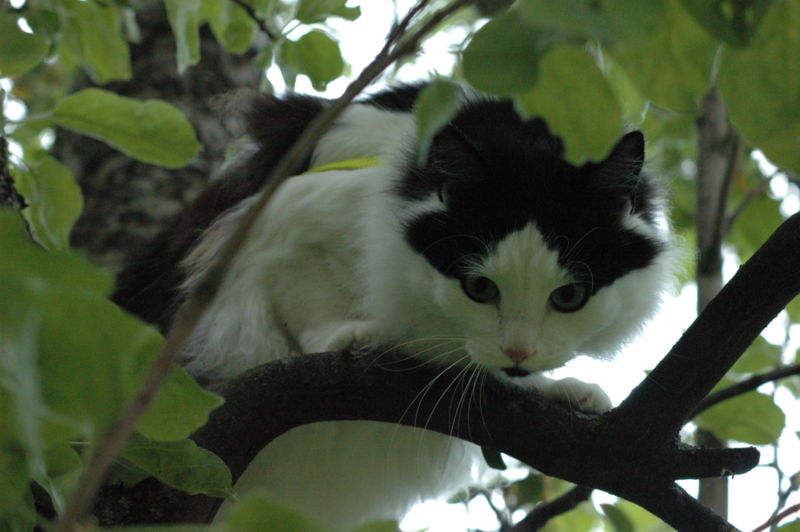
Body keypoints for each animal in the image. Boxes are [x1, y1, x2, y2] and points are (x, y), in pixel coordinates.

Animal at [112, 83, 676, 528]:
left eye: (568, 298)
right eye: (480, 289)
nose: (518, 352)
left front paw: (559, 390)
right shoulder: (287, 222)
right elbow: (306, 293)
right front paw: (350, 337)